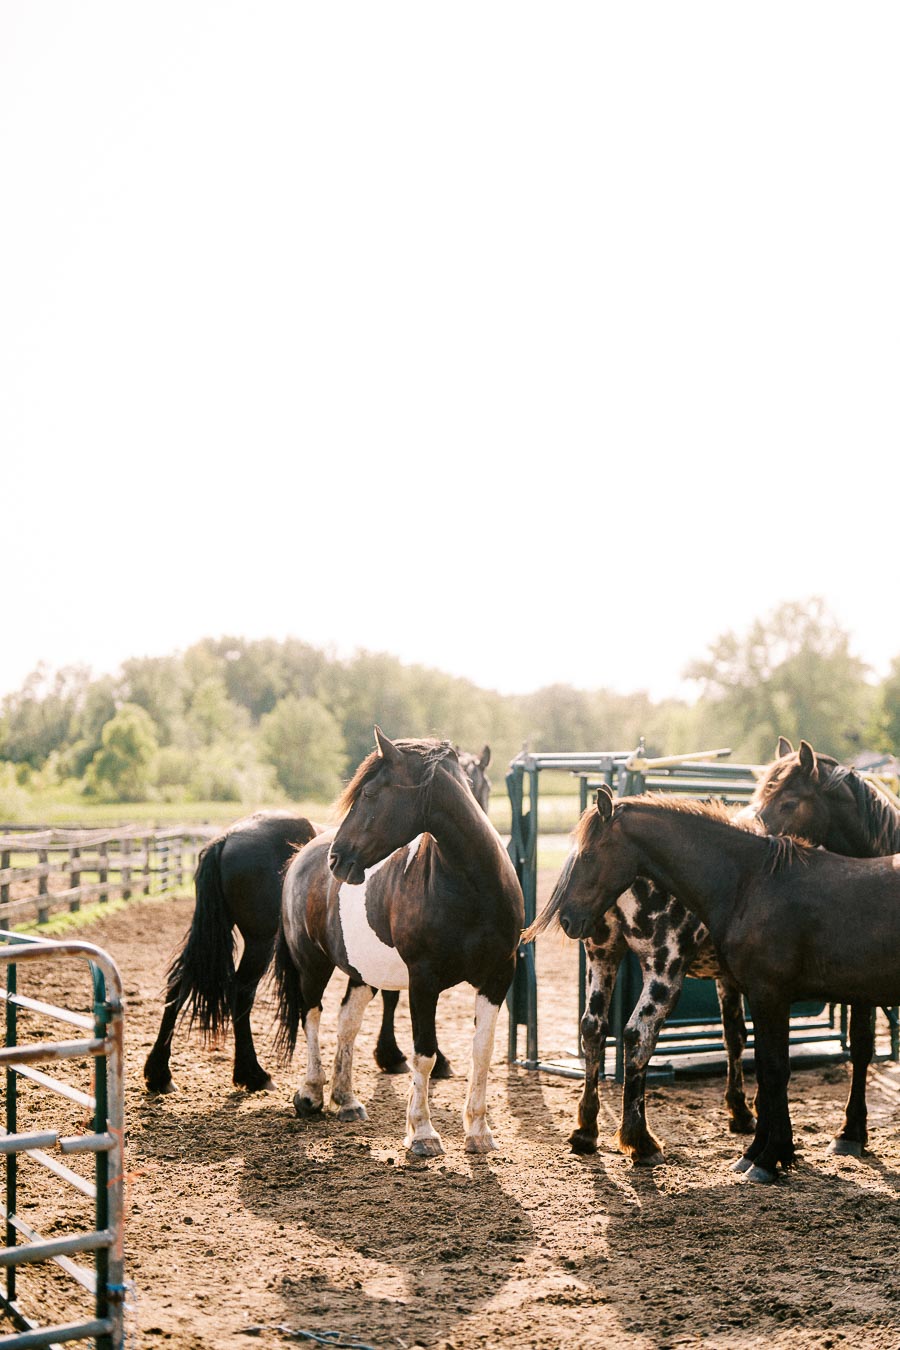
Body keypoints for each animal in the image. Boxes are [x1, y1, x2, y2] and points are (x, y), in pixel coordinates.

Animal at [274, 730, 523, 1156]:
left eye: (370, 793)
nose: (337, 859)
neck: (474, 887)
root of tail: (304, 854)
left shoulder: (498, 976)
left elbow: (482, 1051)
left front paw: (478, 1130)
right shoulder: (423, 980)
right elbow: (424, 1054)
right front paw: (422, 1132)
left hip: (362, 973)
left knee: (347, 1021)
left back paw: (346, 1100)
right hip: (312, 965)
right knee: (312, 1015)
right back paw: (310, 1094)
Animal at [526, 786, 900, 1184]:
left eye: (588, 854)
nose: (568, 918)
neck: (751, 882)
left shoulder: (770, 993)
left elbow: (768, 1061)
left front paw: (768, 1151)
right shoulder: (761, 992)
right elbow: (765, 1063)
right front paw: (765, 1150)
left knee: (619, 1031)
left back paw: (620, 1138)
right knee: (613, 1030)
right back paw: (619, 1138)